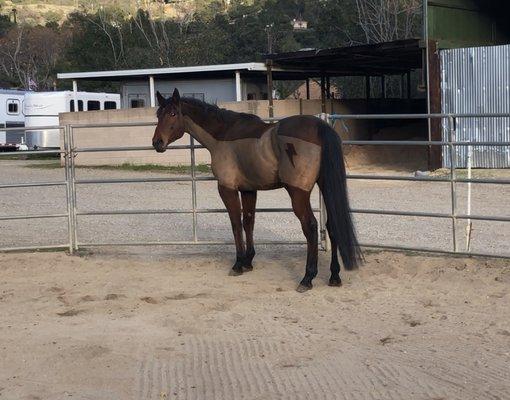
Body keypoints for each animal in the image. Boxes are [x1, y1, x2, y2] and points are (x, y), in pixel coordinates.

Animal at [152, 90, 362, 290]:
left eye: (173, 113)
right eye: (158, 114)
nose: (157, 143)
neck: (223, 135)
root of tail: (320, 128)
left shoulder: (227, 189)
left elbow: (236, 224)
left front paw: (238, 264)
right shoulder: (248, 190)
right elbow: (248, 222)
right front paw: (248, 261)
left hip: (298, 193)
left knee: (310, 227)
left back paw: (307, 278)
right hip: (325, 186)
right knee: (332, 226)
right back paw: (334, 276)